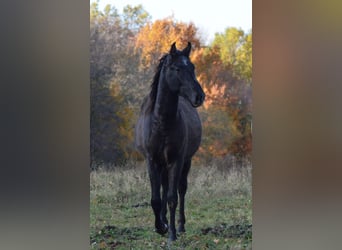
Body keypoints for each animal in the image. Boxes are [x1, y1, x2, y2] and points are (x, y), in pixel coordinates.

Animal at [135, 42, 204, 241]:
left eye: (192, 67)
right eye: (177, 68)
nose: (199, 96)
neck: (161, 123)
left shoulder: (176, 160)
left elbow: (173, 197)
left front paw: (171, 233)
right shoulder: (152, 161)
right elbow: (156, 198)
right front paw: (160, 227)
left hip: (185, 162)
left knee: (181, 189)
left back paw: (180, 225)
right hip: (162, 164)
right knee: (164, 189)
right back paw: (164, 220)